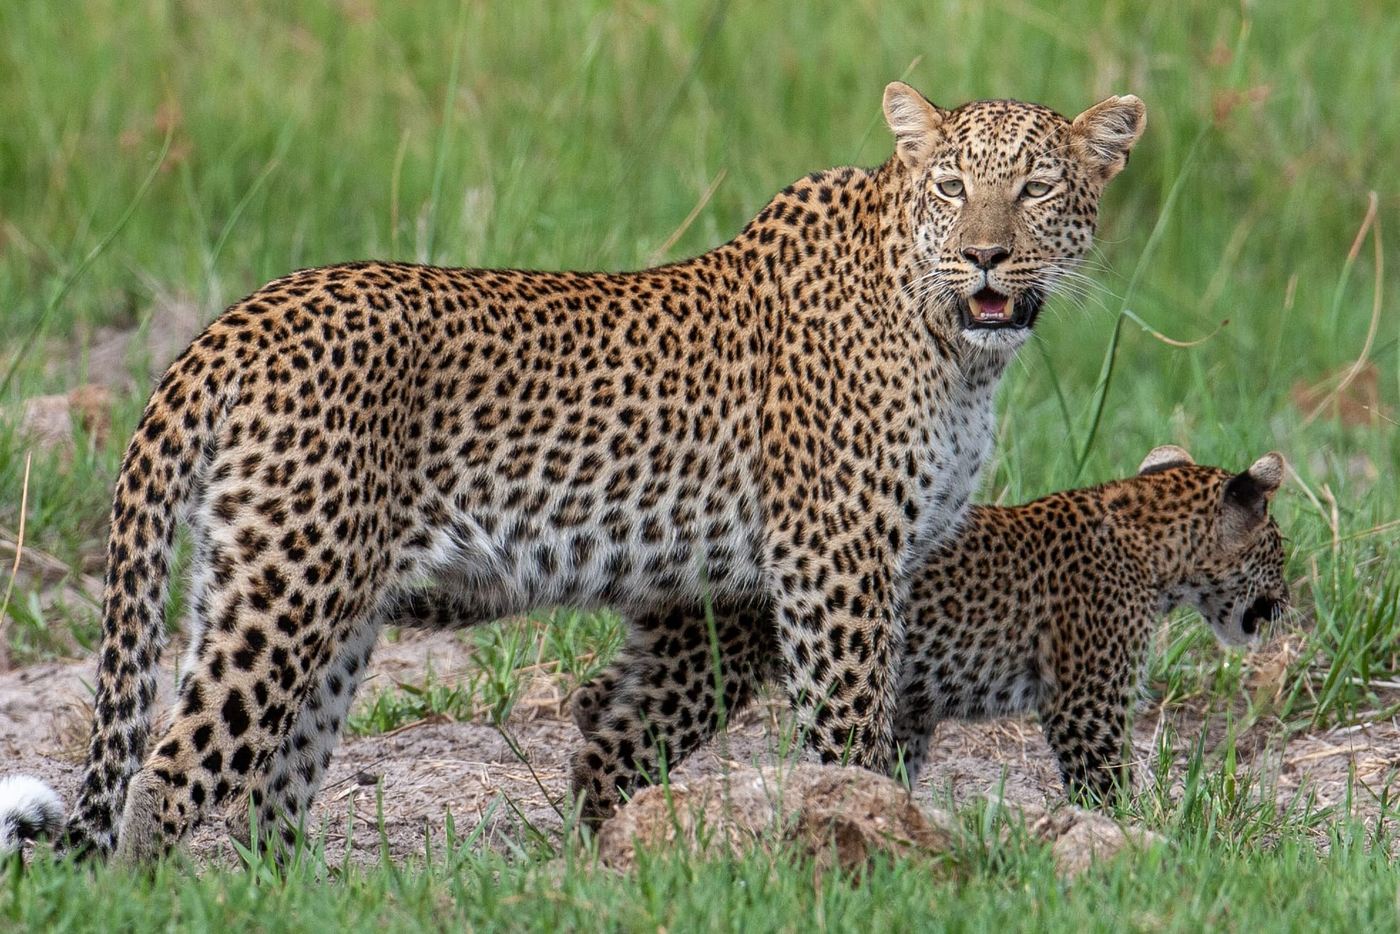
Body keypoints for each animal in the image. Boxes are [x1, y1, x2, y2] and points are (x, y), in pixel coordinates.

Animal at [0, 81, 1145, 863]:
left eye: (1036, 187)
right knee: (170, 770)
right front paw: (868, 832)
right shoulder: (835, 564)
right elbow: (848, 730)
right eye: (953, 186)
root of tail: (240, 318)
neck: (961, 348)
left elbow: (633, 726)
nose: (987, 255)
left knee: (271, 784)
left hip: (299, 598)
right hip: (287, 591)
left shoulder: (736, 591)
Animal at [570, 446, 1289, 804]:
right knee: (612, 753)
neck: (1151, 541)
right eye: (1279, 550)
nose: (1285, 604)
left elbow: (893, 765)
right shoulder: (1086, 703)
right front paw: (1131, 839)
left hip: (668, 650)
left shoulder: (913, 706)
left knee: (591, 702)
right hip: (707, 667)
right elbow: (1105, 782)